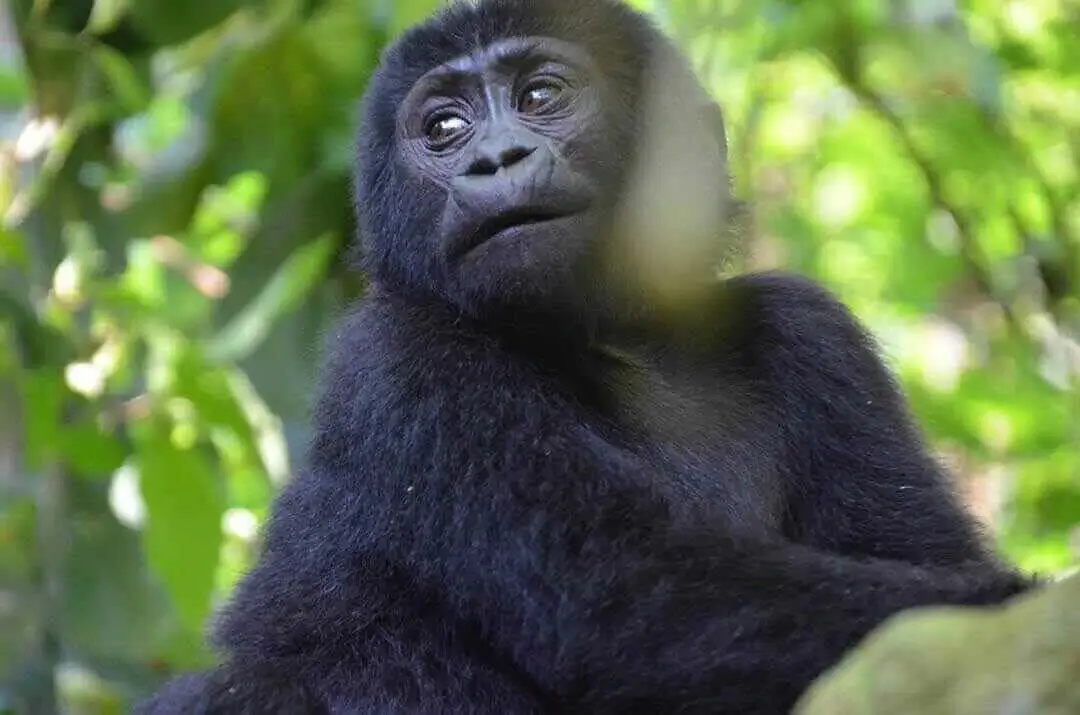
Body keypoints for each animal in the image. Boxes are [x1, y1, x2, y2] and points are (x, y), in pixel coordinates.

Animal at [135, 0, 1028, 712]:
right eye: (445, 129)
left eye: (541, 96)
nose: (495, 160)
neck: (623, 338)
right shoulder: (398, 360)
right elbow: (634, 599)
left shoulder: (812, 333)